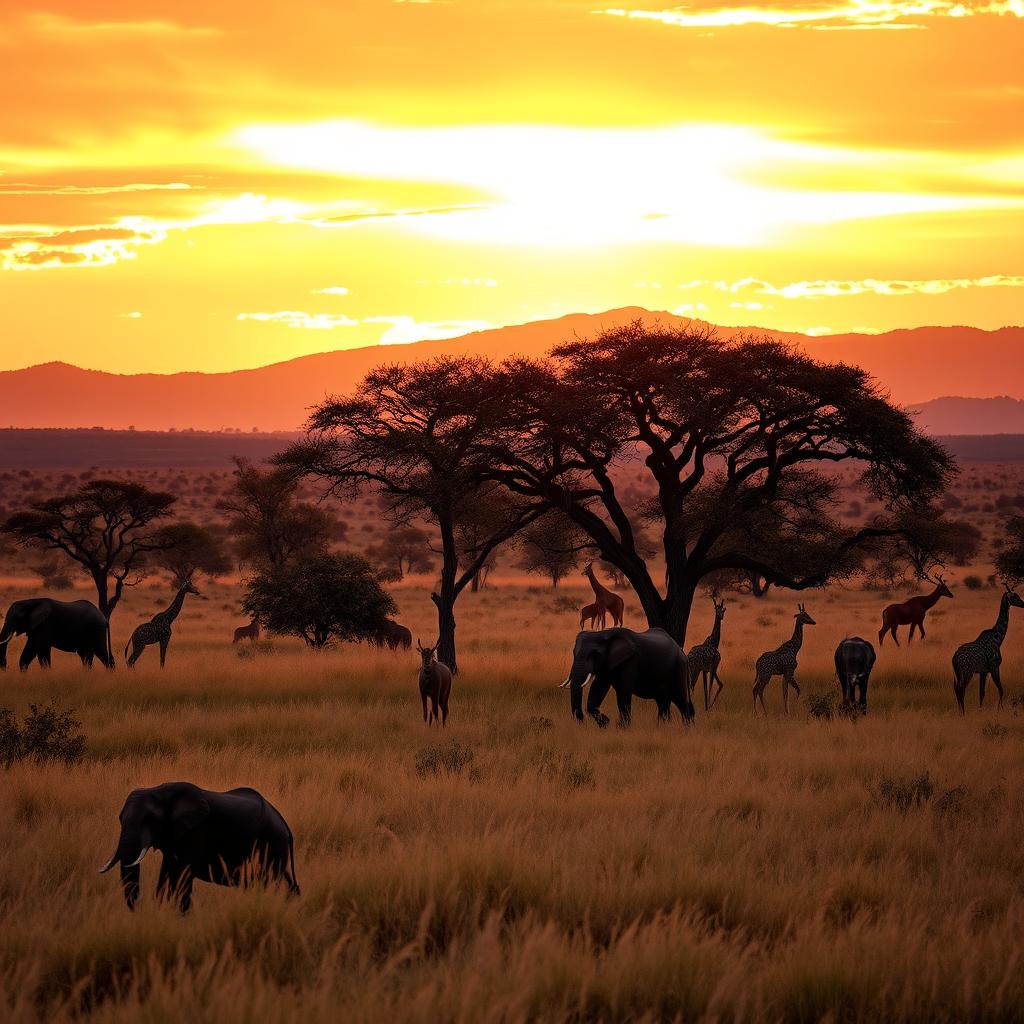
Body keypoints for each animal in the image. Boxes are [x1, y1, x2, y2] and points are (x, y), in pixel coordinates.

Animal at [98, 782, 299, 913]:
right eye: (120, 818)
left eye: (149, 819)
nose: (140, 910)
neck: (160, 791)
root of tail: (285, 824)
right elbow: (167, 870)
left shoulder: (196, 830)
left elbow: (183, 873)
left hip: (272, 843)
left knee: (267, 880)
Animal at [561, 622, 696, 729]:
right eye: (573, 653)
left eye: (594, 655)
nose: (581, 721)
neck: (604, 634)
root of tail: (681, 651)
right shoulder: (606, 664)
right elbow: (598, 689)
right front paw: (606, 724)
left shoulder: (630, 661)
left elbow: (623, 692)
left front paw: (621, 728)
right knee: (663, 702)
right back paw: (662, 728)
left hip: (679, 669)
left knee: (681, 700)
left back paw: (686, 729)